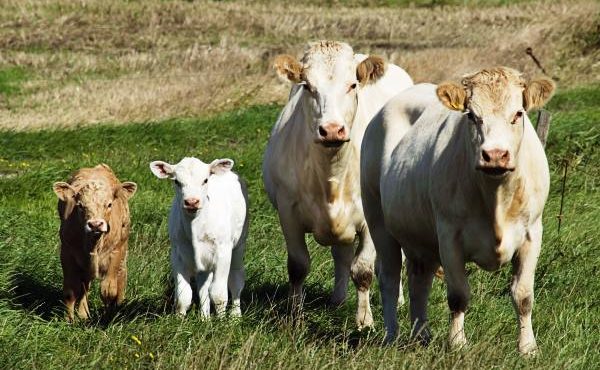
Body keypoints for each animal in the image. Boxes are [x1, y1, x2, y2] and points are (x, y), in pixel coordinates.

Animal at [51, 165, 137, 320]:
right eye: (80, 205)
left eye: (109, 204)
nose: (95, 224)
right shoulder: (67, 253)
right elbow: (71, 291)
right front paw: (69, 320)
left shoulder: (115, 253)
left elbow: (108, 290)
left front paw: (108, 316)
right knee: (85, 285)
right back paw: (83, 314)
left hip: (123, 249)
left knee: (120, 277)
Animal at [150, 158, 248, 316]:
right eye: (177, 181)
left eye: (205, 180)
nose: (191, 201)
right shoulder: (177, 254)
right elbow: (183, 296)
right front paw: (179, 321)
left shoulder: (223, 252)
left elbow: (219, 294)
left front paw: (222, 321)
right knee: (203, 287)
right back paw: (204, 318)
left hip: (239, 244)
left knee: (236, 280)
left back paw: (235, 316)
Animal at [262, 40, 412, 330]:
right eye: (307, 86)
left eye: (352, 85)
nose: (332, 130)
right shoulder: (288, 212)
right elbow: (298, 266)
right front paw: (296, 317)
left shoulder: (370, 217)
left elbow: (363, 270)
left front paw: (365, 321)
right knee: (341, 255)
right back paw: (339, 299)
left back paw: (397, 300)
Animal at [358, 68, 556, 354]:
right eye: (471, 115)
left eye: (518, 113)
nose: (495, 155)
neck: (496, 198)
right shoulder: (449, 236)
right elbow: (458, 295)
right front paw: (458, 343)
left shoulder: (532, 233)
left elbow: (523, 295)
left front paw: (528, 348)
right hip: (377, 220)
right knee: (389, 279)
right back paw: (392, 335)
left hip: (420, 238)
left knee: (419, 281)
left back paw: (421, 334)